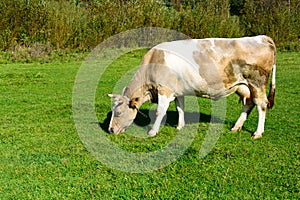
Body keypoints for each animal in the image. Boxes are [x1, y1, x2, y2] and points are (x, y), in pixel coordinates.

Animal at [108, 35, 276, 139]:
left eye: (118, 112)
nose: (110, 130)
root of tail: (261, 37)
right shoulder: (177, 91)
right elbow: (180, 108)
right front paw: (180, 126)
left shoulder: (164, 90)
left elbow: (159, 111)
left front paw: (153, 131)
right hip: (243, 86)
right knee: (248, 104)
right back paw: (236, 127)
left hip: (257, 83)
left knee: (261, 105)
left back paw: (257, 132)